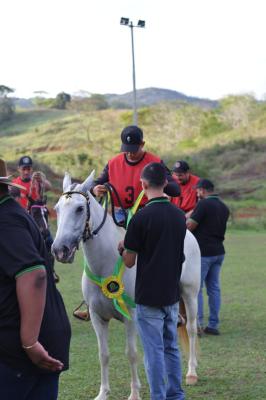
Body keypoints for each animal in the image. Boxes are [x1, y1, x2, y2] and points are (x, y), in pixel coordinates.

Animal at [52, 172, 200, 400]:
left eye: (79, 209)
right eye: (57, 208)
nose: (60, 250)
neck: (106, 264)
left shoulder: (131, 317)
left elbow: (131, 354)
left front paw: (135, 393)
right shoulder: (97, 317)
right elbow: (103, 354)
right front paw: (103, 393)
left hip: (190, 295)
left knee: (191, 329)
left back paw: (191, 373)